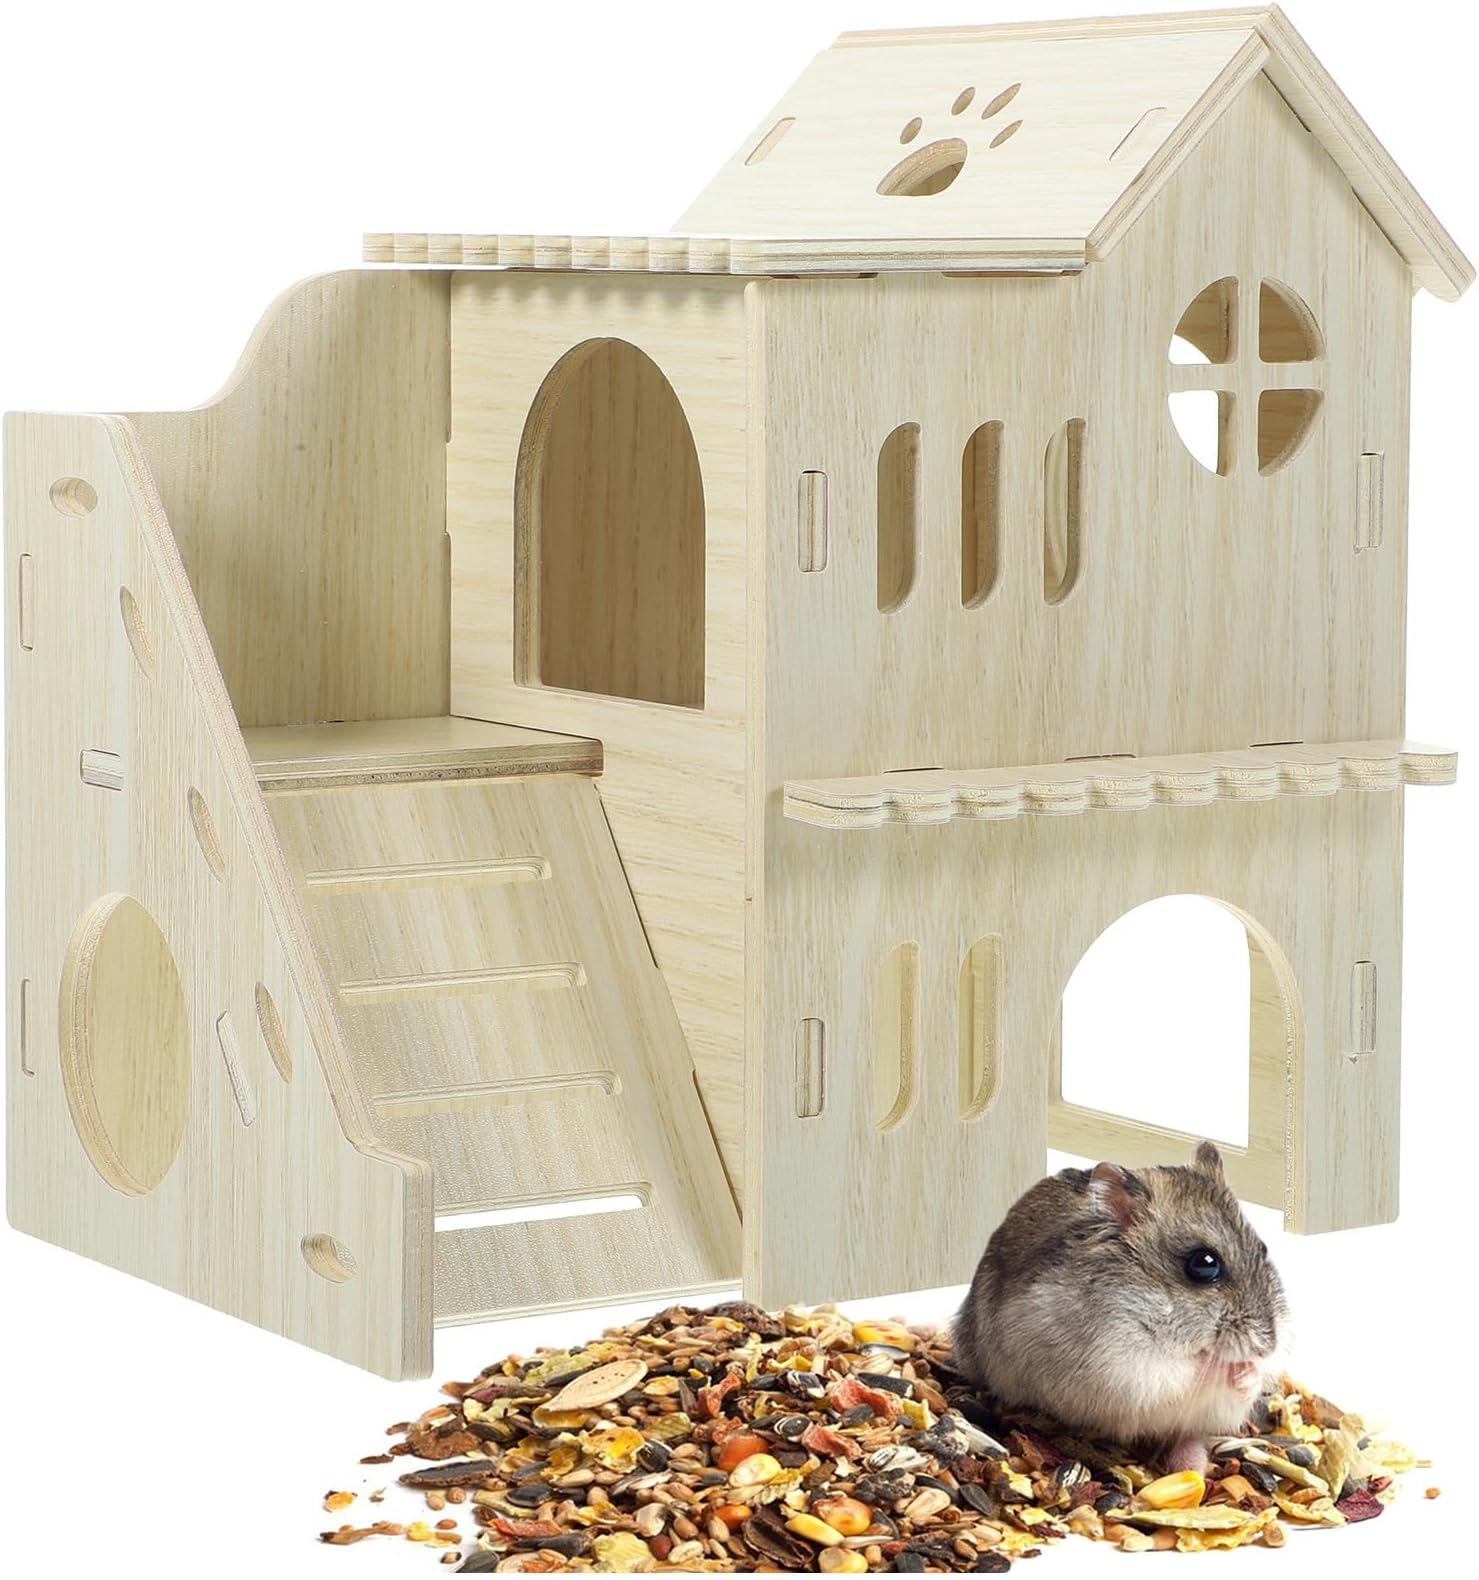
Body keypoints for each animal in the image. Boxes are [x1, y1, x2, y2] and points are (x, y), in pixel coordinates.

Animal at [951, 1141, 1287, 1472]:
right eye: (1203, 1264)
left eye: (1263, 1249)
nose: (1267, 1347)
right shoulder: (1124, 1367)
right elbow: (1184, 1373)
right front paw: (1224, 1365)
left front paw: (1248, 1371)